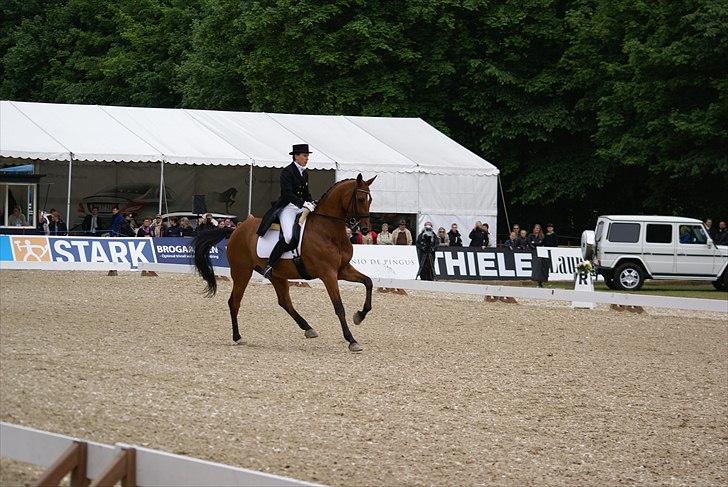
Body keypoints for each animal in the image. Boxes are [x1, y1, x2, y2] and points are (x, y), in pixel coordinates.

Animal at [192, 173, 376, 352]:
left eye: (370, 199)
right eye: (361, 199)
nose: (365, 229)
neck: (328, 231)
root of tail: (235, 229)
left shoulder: (342, 270)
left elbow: (368, 282)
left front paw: (360, 316)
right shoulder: (328, 274)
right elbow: (339, 306)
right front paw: (352, 340)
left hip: (276, 275)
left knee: (284, 301)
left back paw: (308, 328)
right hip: (241, 272)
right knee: (234, 301)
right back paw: (237, 337)